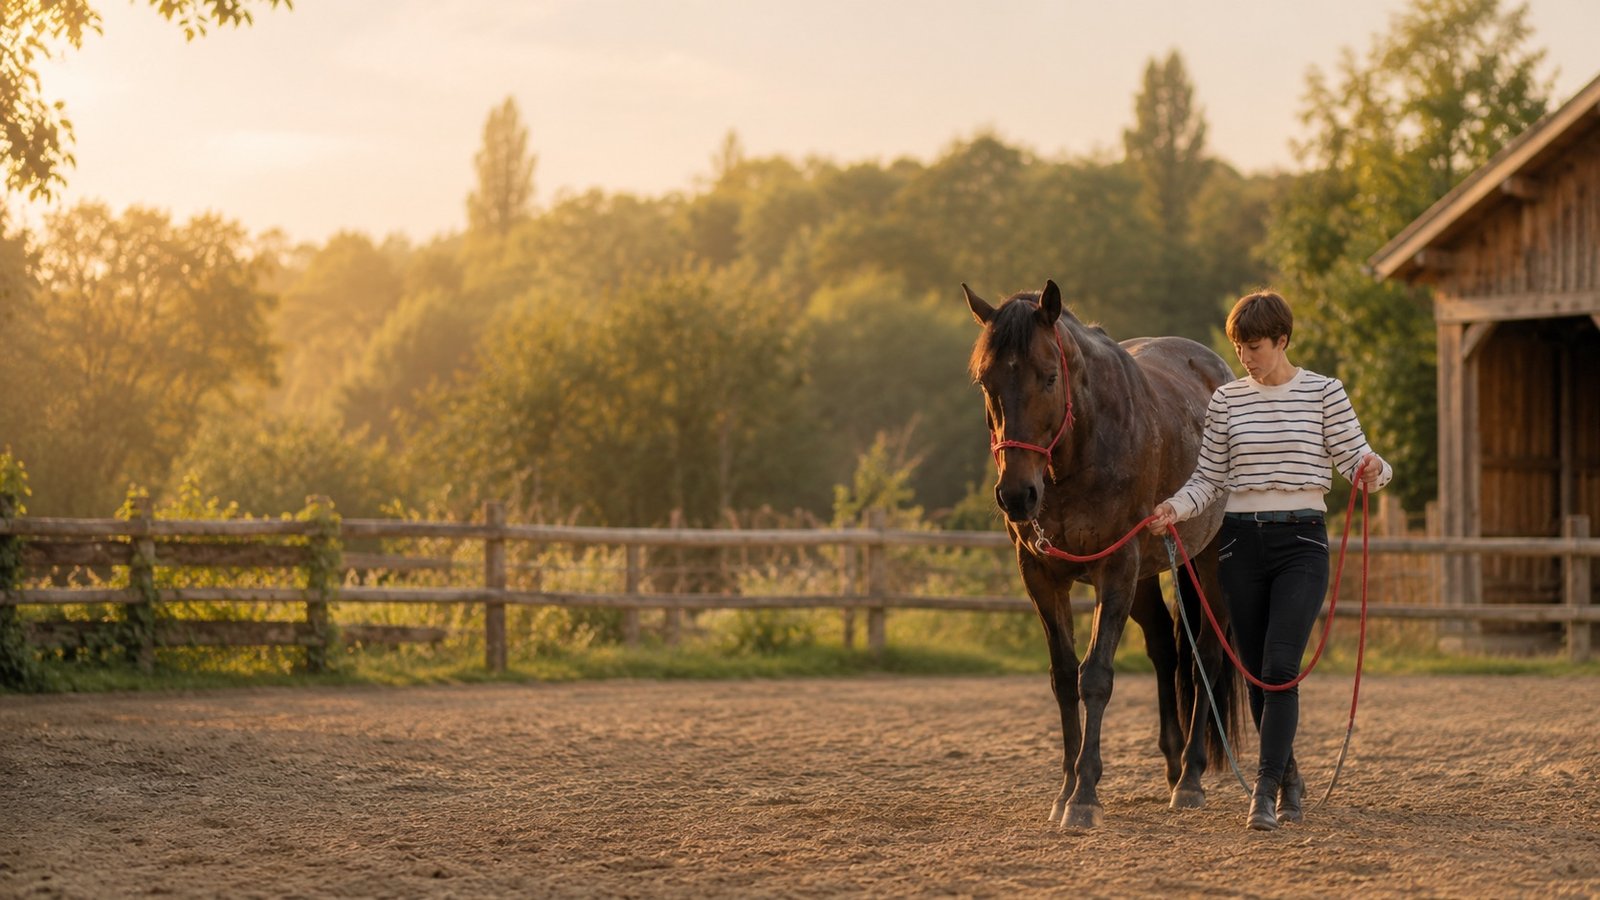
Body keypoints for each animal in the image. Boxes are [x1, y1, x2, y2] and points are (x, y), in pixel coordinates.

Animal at [963, 279, 1243, 829]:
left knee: (1205, 655)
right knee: (1165, 648)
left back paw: (1191, 777)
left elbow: (1095, 677)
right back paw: (1173, 766)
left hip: (1205, 564)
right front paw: (1065, 787)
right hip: (1146, 577)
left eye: (1049, 376)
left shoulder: (1116, 567)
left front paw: (1086, 794)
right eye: (986, 381)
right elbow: (1063, 677)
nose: (1017, 495)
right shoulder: (1041, 574)